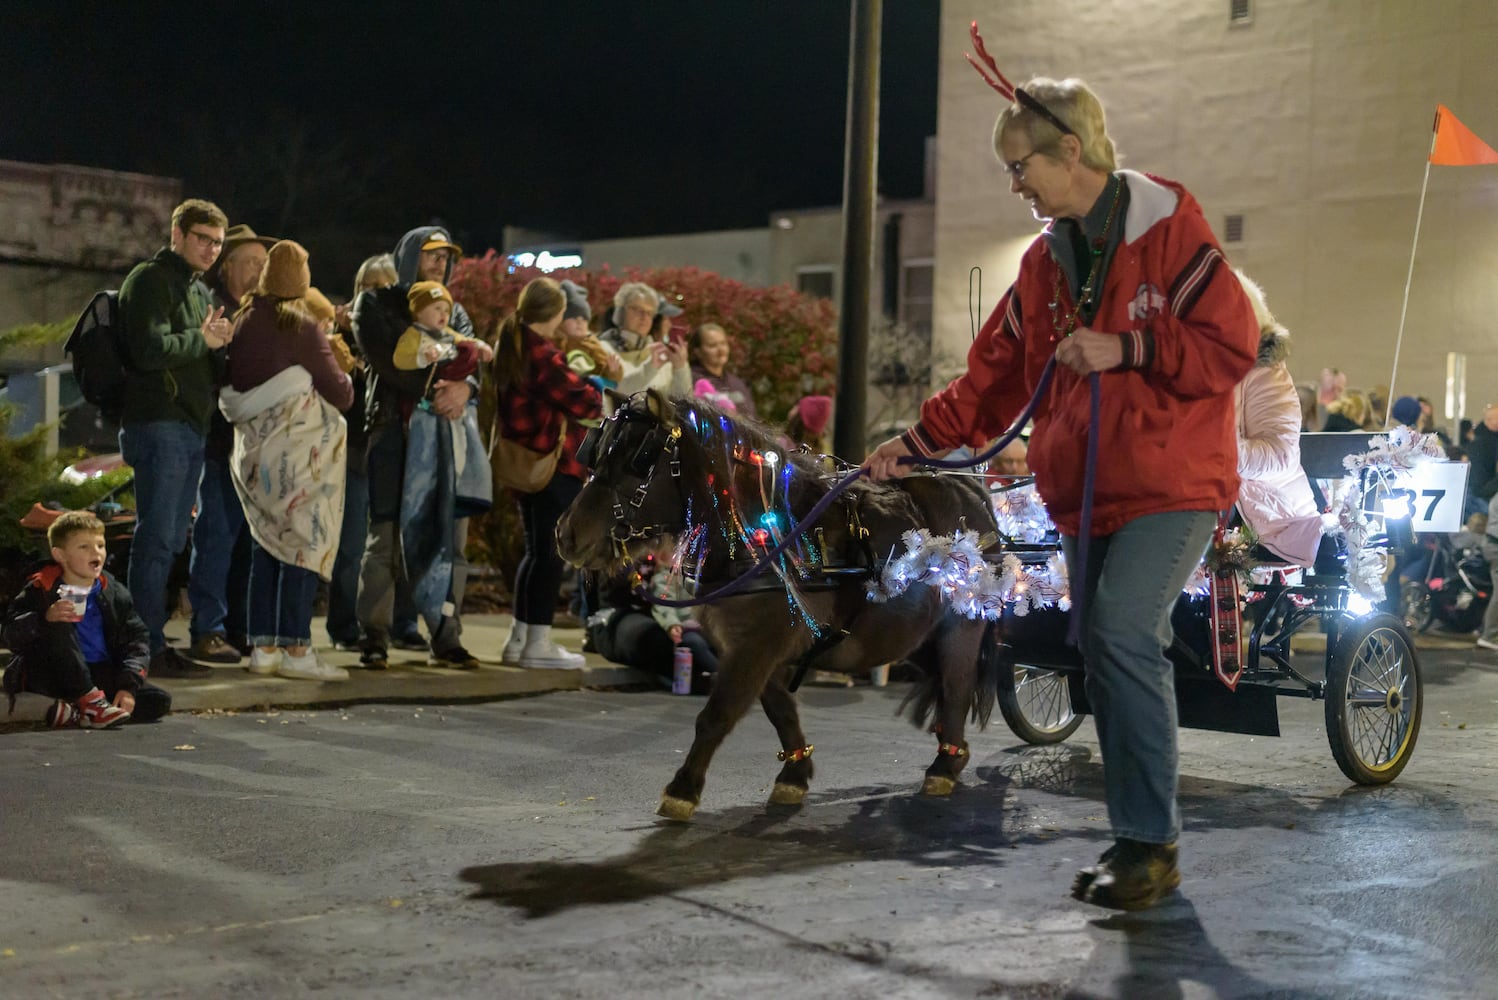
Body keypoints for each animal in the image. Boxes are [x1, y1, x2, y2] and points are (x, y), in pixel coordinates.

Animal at [557, 389, 1000, 820]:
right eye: (598, 451)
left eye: (640, 458)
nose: (566, 534)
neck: (769, 537)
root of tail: (977, 498)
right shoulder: (746, 646)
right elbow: (778, 708)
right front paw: (794, 775)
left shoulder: (759, 643)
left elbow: (717, 713)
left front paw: (682, 790)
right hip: (916, 638)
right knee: (942, 682)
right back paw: (953, 751)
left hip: (962, 626)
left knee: (957, 685)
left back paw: (944, 766)